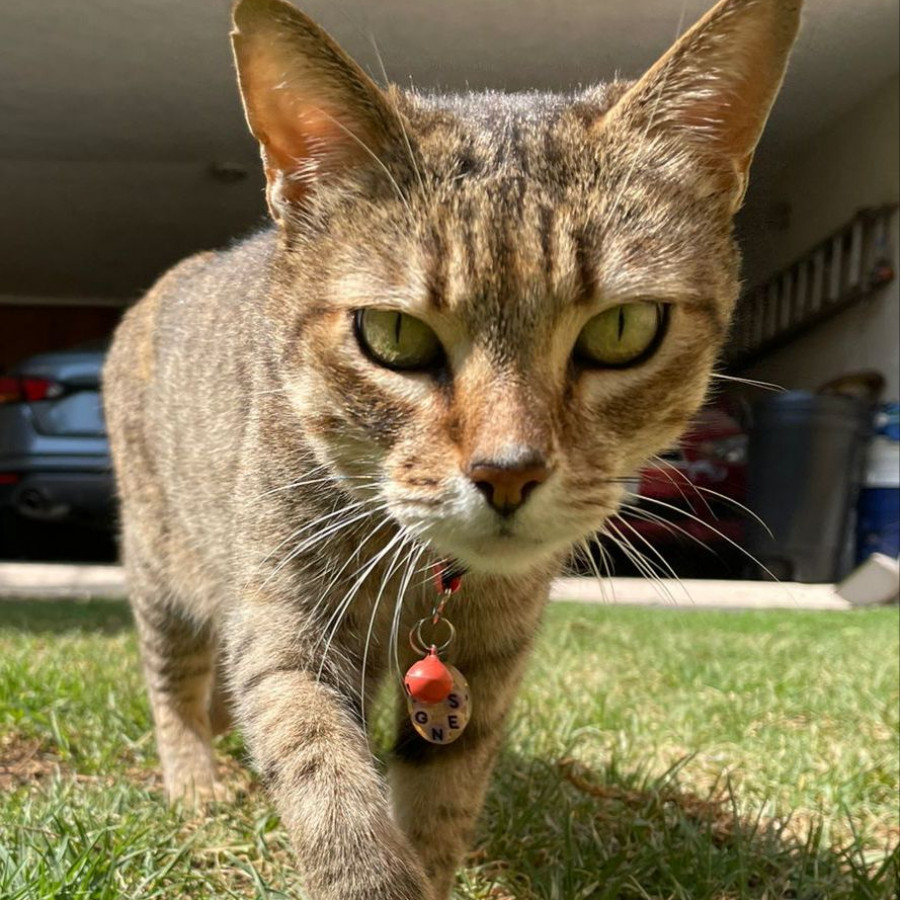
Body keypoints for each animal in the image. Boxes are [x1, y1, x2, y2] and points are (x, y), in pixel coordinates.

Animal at [103, 0, 800, 896]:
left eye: (623, 329)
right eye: (393, 335)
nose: (508, 472)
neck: (425, 581)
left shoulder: (490, 663)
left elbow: (442, 800)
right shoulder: (285, 622)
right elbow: (327, 781)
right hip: (162, 568)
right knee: (173, 683)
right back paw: (194, 779)